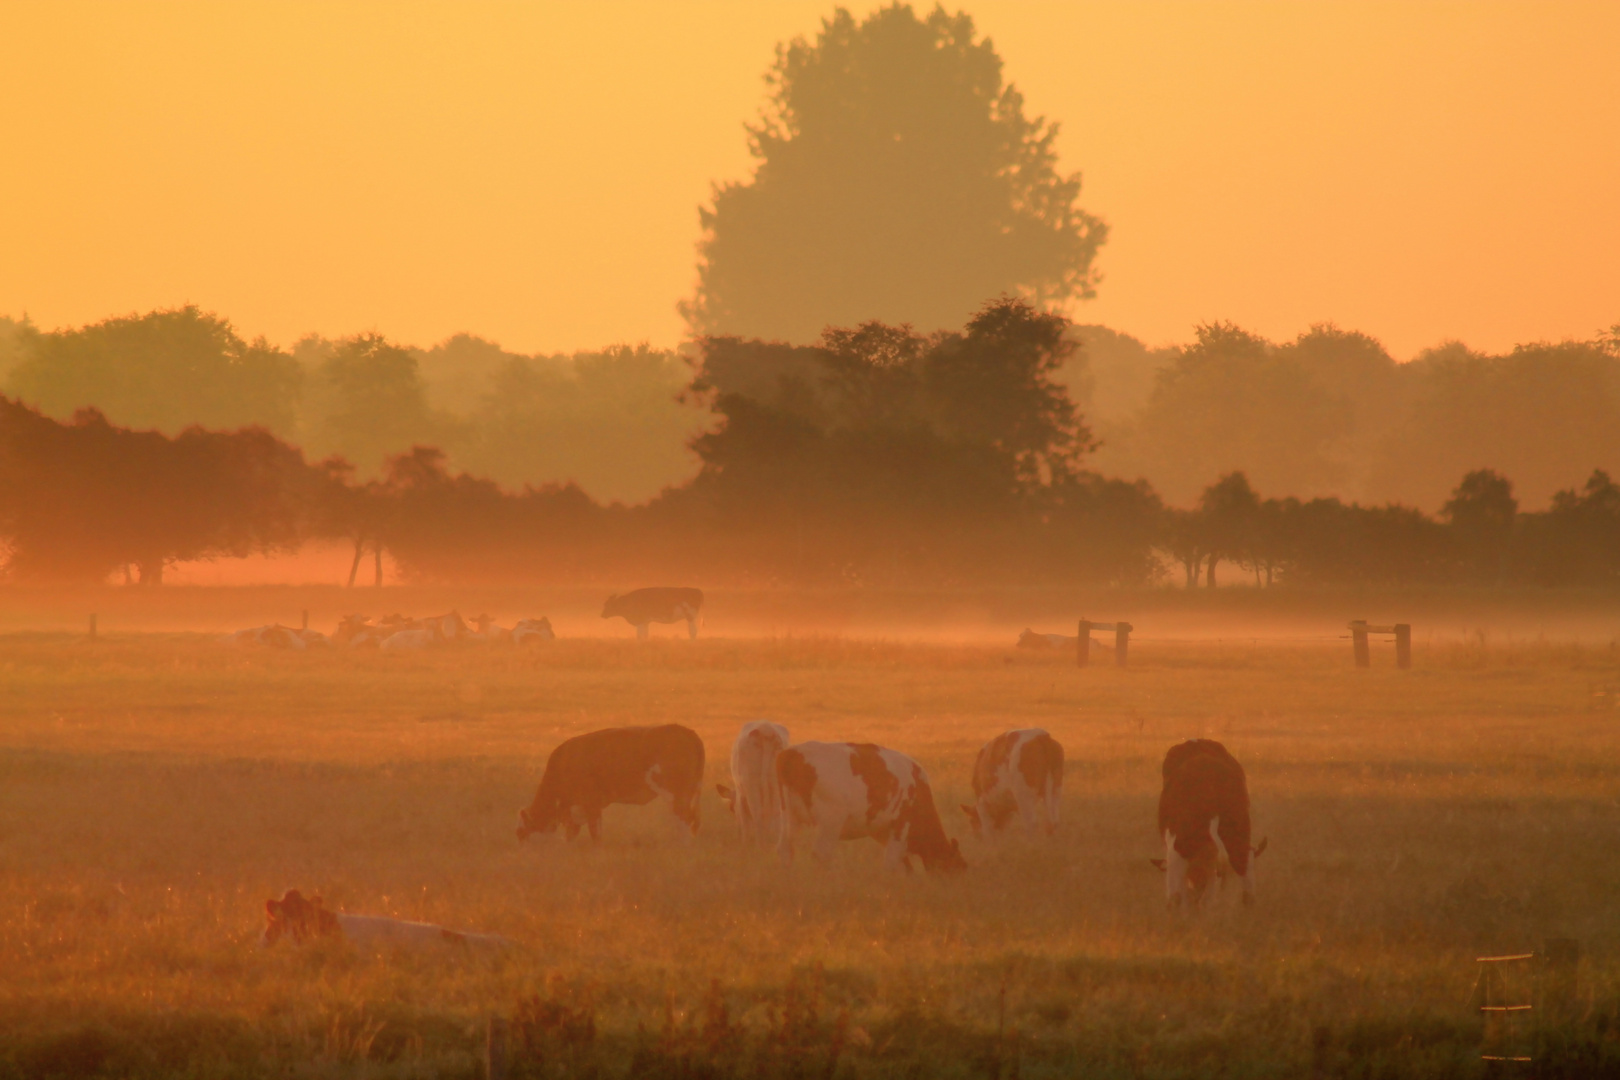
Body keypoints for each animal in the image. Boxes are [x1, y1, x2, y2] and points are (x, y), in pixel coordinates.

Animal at [515, 725, 699, 841]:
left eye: (521, 833)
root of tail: (686, 731)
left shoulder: (591, 804)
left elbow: (595, 833)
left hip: (675, 794)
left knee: (683, 819)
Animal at [771, 738, 959, 874]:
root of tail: (792, 753)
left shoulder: (882, 831)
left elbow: (901, 863)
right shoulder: (900, 825)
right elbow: (891, 861)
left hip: (789, 816)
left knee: (785, 849)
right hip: (830, 822)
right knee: (821, 854)